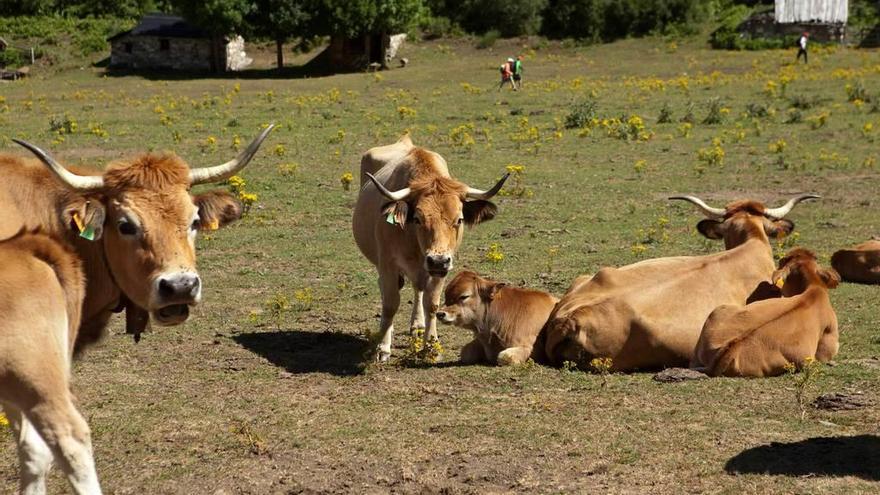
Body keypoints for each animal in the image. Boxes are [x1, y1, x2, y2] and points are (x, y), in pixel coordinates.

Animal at [352, 134, 508, 362]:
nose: (437, 260)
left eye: (459, 219)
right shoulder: (388, 264)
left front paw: (431, 346)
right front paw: (382, 348)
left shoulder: (441, 270)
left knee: (418, 291)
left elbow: (432, 304)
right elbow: (390, 304)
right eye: (417, 218)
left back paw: (417, 325)